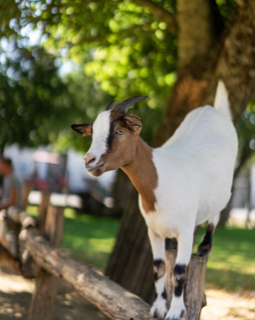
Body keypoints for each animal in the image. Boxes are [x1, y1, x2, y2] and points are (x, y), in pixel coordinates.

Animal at [71, 81, 237, 320]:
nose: (89, 160)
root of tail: (215, 109)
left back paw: (205, 247)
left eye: (120, 131)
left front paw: (175, 311)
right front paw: (158, 307)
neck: (161, 180)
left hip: (225, 186)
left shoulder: (186, 230)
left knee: (218, 209)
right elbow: (159, 267)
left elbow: (179, 271)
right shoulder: (153, 230)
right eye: (92, 133)